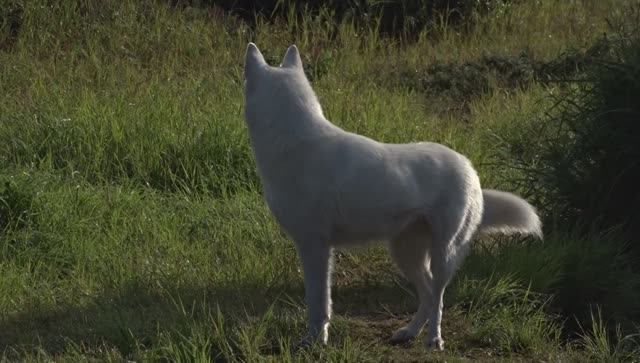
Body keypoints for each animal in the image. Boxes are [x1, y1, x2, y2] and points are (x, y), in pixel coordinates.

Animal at [242, 43, 544, 352]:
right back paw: (409, 332)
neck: (293, 141)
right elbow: (322, 302)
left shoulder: (315, 247)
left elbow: (318, 304)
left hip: (442, 255)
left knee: (438, 297)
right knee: (427, 295)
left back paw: (434, 340)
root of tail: (470, 169)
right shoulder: (318, 248)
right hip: (405, 254)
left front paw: (314, 341)